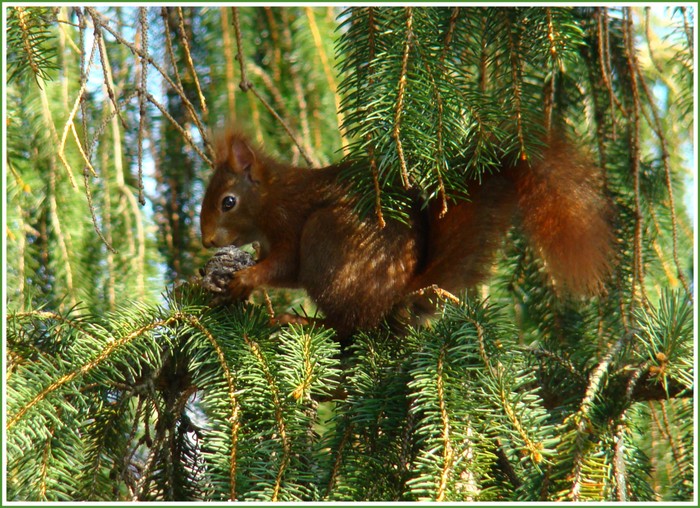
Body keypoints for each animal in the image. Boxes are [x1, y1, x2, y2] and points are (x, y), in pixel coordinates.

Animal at [199, 128, 614, 336]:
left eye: (228, 202)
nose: (206, 242)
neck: (271, 196)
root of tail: (398, 296)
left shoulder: (290, 220)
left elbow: (284, 264)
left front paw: (246, 278)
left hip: (326, 235)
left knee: (351, 326)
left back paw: (301, 321)